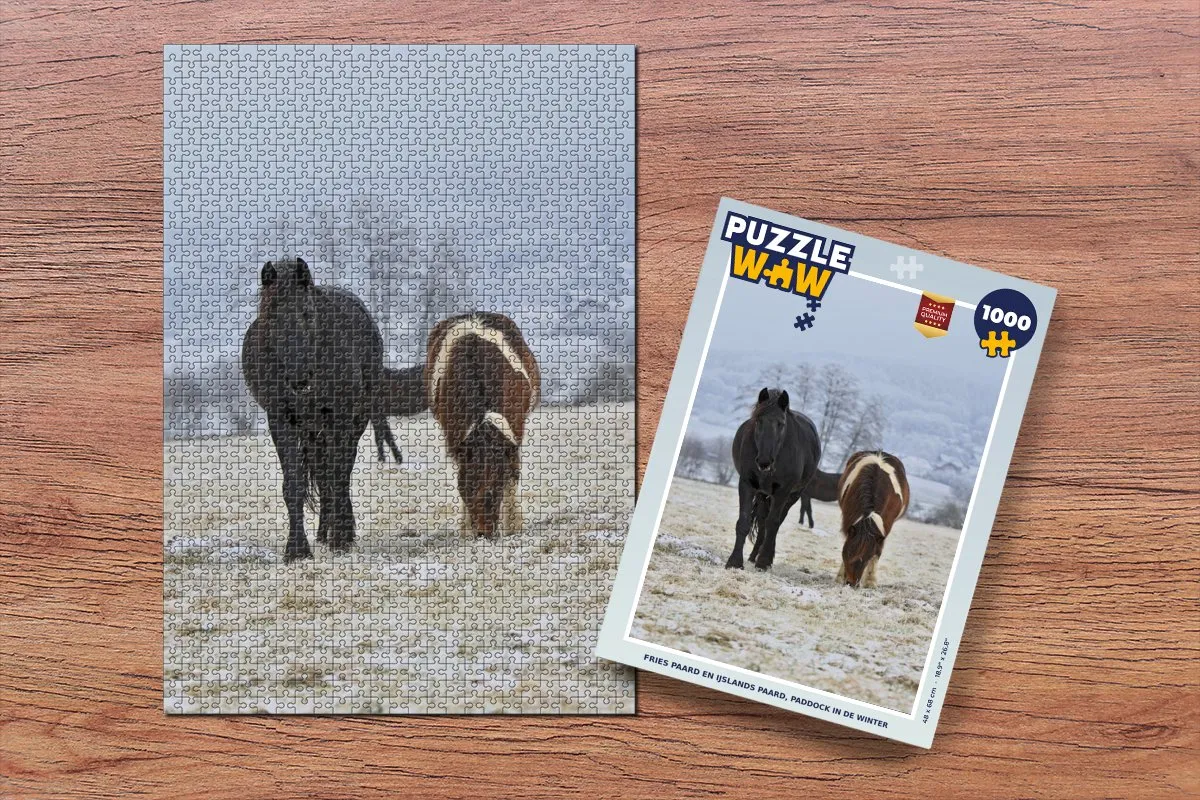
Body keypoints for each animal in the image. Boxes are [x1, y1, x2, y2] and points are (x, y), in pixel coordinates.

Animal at [241, 257, 387, 562]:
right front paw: (297, 550)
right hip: (313, 430)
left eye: (307, 313)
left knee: (338, 474)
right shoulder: (280, 419)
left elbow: (338, 475)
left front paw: (341, 539)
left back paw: (338, 533)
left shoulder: (340, 417)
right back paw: (322, 533)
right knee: (322, 474)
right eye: (270, 317)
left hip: (352, 422)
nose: (299, 378)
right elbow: (294, 484)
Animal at [425, 312, 540, 539]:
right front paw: (465, 528)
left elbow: (513, 476)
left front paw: (513, 525)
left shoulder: (514, 432)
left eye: (495, 488)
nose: (483, 532)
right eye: (466, 488)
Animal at [726, 388, 821, 571]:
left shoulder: (782, 491)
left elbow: (773, 524)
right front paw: (735, 562)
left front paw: (763, 562)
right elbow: (744, 522)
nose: (764, 461)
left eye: (781, 424)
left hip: (792, 496)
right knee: (763, 522)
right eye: (758, 421)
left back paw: (765, 558)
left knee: (775, 523)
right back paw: (753, 556)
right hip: (764, 495)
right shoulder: (747, 484)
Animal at [836, 451, 911, 588]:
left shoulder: (885, 527)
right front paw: (840, 576)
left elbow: (878, 552)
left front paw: (871, 581)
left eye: (867, 558)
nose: (851, 583)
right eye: (848, 554)